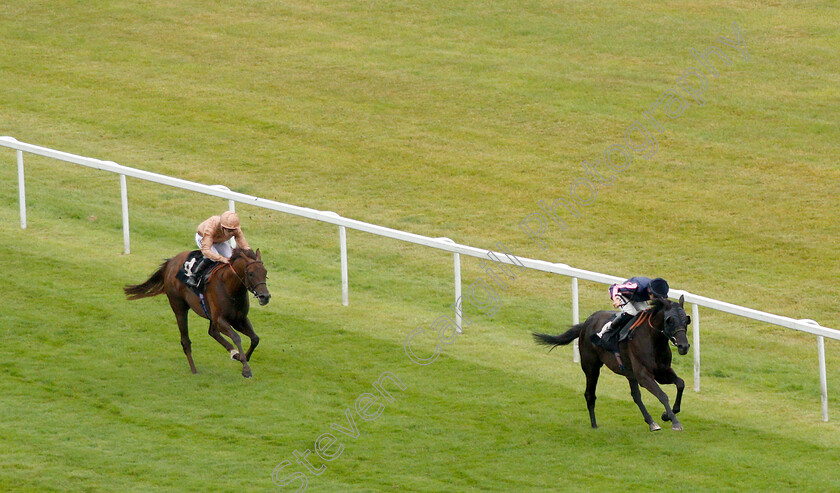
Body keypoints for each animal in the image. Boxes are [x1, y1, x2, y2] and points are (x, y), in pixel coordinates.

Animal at [123, 248, 270, 378]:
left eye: (265, 272)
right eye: (250, 273)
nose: (265, 296)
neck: (230, 287)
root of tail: (171, 261)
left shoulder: (239, 319)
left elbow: (255, 338)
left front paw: (243, 356)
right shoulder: (220, 319)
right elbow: (236, 337)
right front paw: (246, 369)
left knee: (212, 332)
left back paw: (233, 353)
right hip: (179, 308)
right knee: (186, 341)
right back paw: (194, 369)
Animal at [536, 296, 692, 430]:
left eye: (686, 320)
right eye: (670, 320)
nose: (684, 346)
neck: (653, 340)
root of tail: (586, 323)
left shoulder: (662, 372)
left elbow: (681, 383)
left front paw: (667, 415)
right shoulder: (643, 376)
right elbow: (662, 395)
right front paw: (675, 422)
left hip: (629, 373)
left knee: (635, 396)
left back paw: (651, 422)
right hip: (591, 367)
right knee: (590, 394)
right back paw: (594, 425)